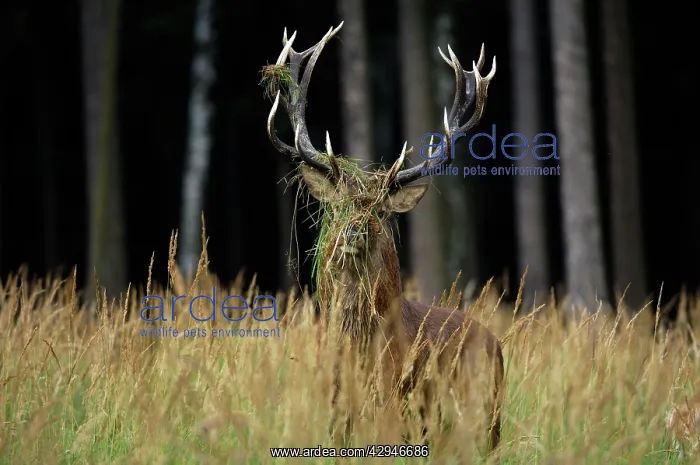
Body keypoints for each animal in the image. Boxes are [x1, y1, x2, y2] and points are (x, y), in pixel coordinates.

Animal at [262, 22, 504, 455]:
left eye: (379, 211)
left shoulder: (392, 404)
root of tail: (500, 347)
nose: (353, 231)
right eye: (339, 206)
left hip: (484, 414)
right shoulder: (331, 411)